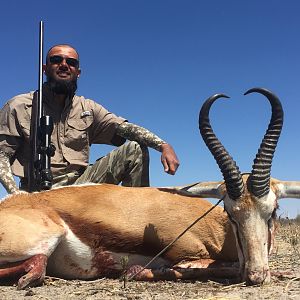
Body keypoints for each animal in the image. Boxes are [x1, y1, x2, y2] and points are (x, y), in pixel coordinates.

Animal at [0, 88, 298, 290]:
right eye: (230, 213)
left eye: (272, 211)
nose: (256, 275)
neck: (211, 224)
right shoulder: (185, 256)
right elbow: (215, 267)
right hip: (47, 237)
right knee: (36, 263)